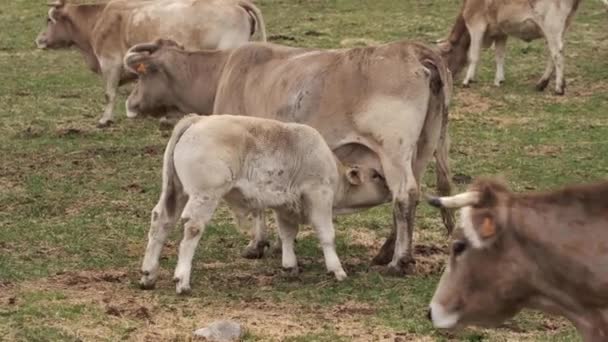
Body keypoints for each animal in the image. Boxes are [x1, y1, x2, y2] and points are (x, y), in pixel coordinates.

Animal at [35, 0, 266, 127]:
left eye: (49, 20)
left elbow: (109, 94)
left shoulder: (110, 63)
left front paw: (104, 120)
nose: (39, 40)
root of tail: (235, 3)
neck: (99, 19)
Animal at [141, 114, 390, 294]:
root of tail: (196, 120)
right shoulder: (319, 196)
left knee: (161, 222)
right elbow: (326, 234)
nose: (390, 188)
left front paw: (290, 266)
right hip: (204, 196)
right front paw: (337, 270)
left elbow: (287, 234)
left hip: (175, 191)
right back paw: (182, 280)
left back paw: (148, 274)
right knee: (192, 230)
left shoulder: (285, 205)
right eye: (376, 175)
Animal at [436, 0, 584, 94]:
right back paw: (542, 84)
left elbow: (474, 55)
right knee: (553, 54)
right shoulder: (500, 32)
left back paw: (559, 88)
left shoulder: (476, 24)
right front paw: (499, 80)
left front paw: (467, 80)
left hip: (552, 26)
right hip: (562, 27)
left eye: (444, 57)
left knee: (557, 54)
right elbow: (500, 56)